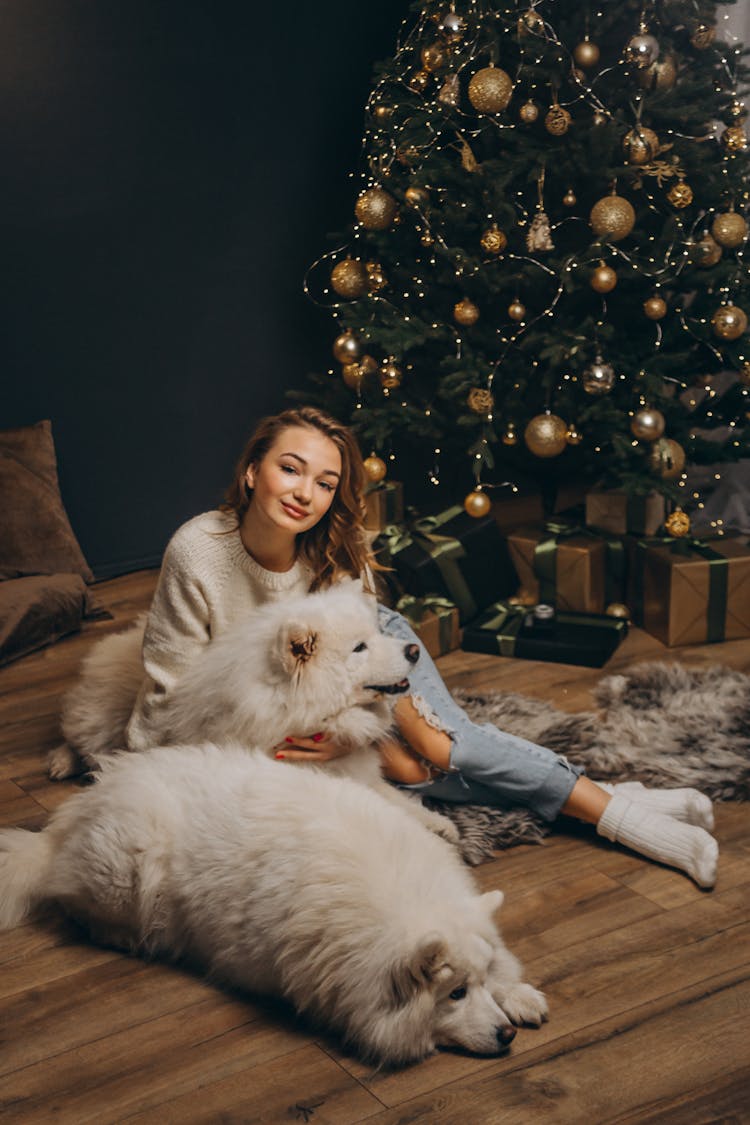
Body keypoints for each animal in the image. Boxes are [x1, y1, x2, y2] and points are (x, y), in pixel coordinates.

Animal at [0, 742, 550, 1066]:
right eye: (454, 994)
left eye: (478, 983)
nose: (506, 1036)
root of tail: (75, 815)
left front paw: (518, 995)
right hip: (129, 866)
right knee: (79, 906)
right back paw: (130, 936)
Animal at [49, 585, 458, 841]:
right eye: (360, 647)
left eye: (377, 635)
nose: (414, 650)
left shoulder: (362, 775)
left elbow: (399, 801)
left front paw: (439, 824)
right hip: (98, 721)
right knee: (78, 739)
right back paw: (61, 762)